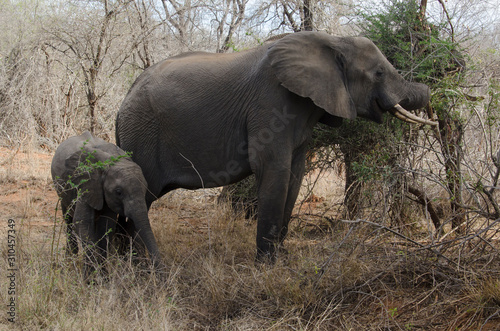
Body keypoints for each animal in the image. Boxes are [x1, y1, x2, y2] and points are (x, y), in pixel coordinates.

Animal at [51, 131, 161, 276]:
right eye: (118, 192)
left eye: (145, 190)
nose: (152, 272)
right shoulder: (86, 184)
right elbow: (82, 222)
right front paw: (91, 278)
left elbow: (106, 225)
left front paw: (103, 276)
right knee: (68, 219)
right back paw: (70, 262)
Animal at [115, 32, 436, 260]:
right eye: (379, 73)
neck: (332, 40)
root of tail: (124, 100)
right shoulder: (269, 104)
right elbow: (273, 171)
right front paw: (266, 266)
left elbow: (294, 176)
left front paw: (281, 258)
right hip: (141, 135)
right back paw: (133, 264)